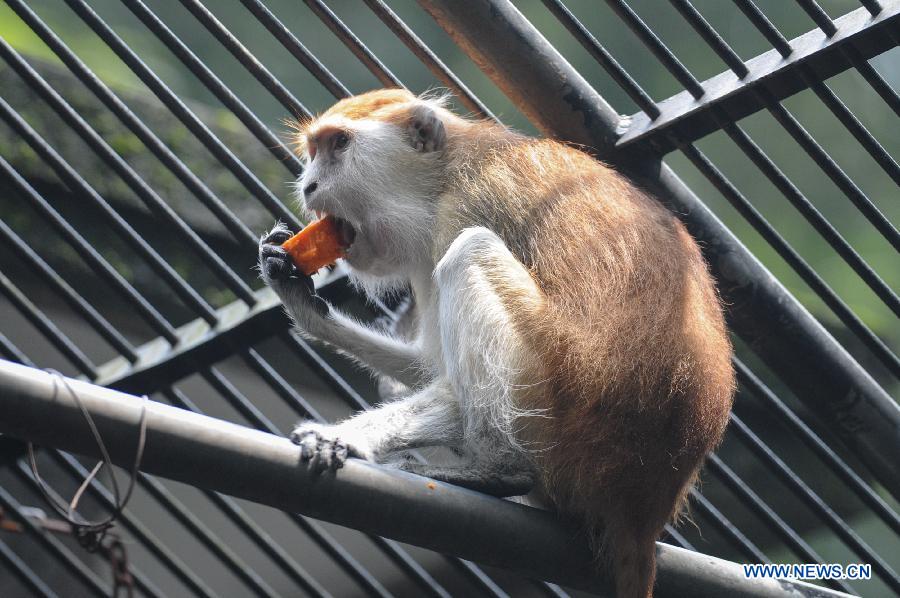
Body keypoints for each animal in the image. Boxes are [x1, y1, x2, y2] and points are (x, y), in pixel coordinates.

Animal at [256, 90, 736, 598]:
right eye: (313, 151)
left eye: (339, 146)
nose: (309, 186)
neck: (447, 171)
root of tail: (642, 512)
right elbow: (429, 366)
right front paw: (296, 293)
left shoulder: (463, 208)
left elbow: (450, 386)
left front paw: (344, 437)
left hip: (564, 401)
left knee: (470, 253)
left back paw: (497, 470)